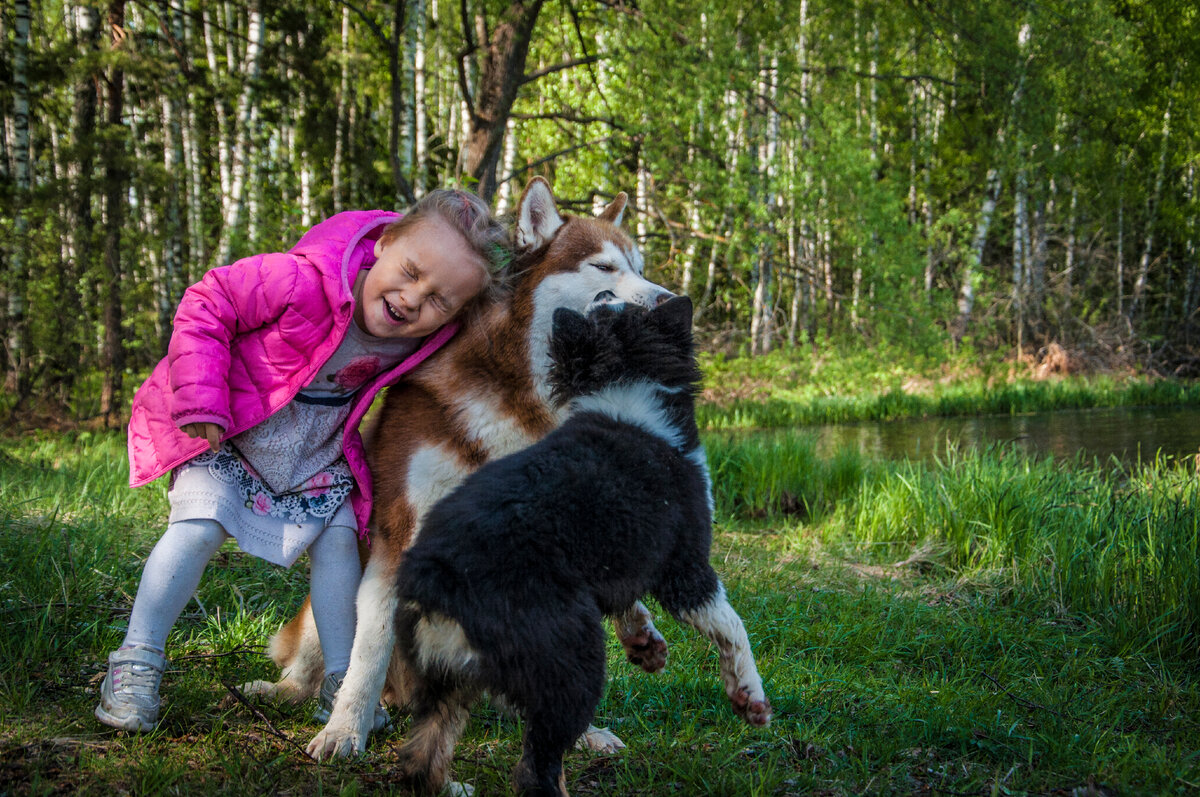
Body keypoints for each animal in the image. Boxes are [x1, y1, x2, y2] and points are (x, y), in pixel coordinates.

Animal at [242, 176, 676, 758]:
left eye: (640, 267)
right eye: (604, 268)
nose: (670, 302)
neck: (521, 396)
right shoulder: (401, 533)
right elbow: (370, 648)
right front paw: (345, 729)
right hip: (321, 614)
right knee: (312, 670)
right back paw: (298, 695)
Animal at [388, 295, 772, 792]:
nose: (602, 295)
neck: (620, 385)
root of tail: (436, 581)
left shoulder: (618, 560)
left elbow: (628, 600)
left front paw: (646, 644)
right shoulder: (685, 565)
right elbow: (731, 626)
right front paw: (750, 698)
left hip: (448, 677)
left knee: (424, 750)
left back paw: (451, 787)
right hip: (570, 659)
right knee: (535, 768)